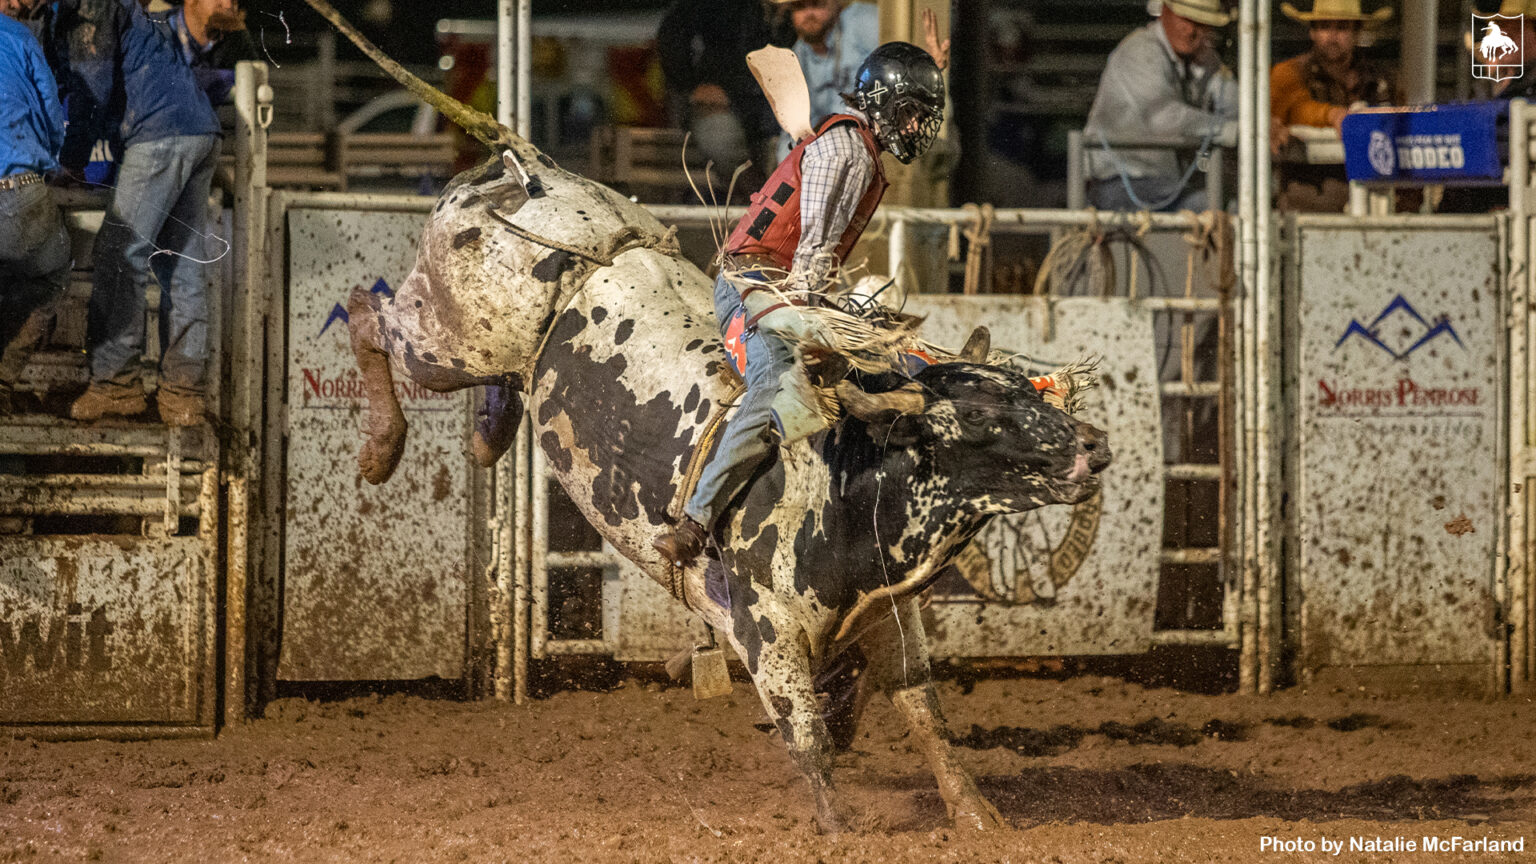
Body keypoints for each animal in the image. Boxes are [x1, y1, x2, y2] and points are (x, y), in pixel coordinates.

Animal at [302, 0, 1112, 833]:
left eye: (1028, 391)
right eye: (980, 412)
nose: (1092, 445)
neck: (849, 476)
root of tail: (526, 171)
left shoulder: (889, 618)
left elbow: (925, 717)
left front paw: (980, 818)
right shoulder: (767, 629)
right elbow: (808, 736)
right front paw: (836, 830)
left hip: (497, 353)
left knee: (474, 373)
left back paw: (483, 436)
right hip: (450, 339)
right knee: (369, 314)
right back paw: (381, 448)